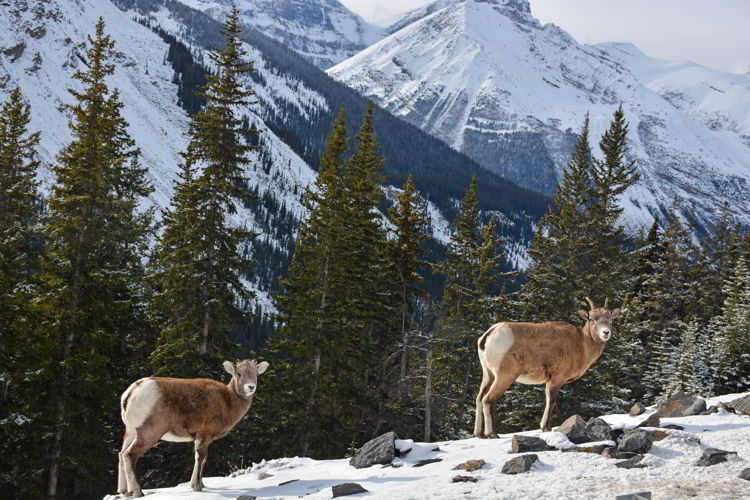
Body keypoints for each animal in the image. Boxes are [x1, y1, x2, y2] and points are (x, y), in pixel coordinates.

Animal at [117, 360, 270, 496]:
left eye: (255, 374)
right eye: (239, 374)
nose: (251, 387)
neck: (228, 401)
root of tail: (131, 393)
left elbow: (203, 459)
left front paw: (201, 485)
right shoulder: (204, 435)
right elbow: (200, 458)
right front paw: (196, 486)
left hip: (131, 432)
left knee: (121, 454)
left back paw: (125, 492)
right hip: (149, 434)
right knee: (129, 455)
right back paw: (138, 492)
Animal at [476, 298, 628, 436]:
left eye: (610, 319)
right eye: (592, 319)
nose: (605, 332)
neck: (583, 344)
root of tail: (488, 336)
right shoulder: (556, 379)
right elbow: (551, 401)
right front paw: (546, 428)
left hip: (488, 374)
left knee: (479, 398)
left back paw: (479, 434)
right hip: (504, 376)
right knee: (488, 399)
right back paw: (492, 434)